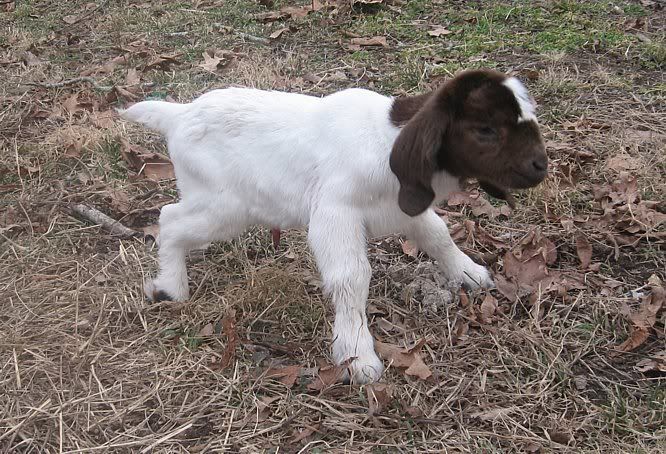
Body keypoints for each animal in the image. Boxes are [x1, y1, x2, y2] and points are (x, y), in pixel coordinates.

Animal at [119, 69, 547, 384]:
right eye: (485, 129)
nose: (540, 165)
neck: (386, 138)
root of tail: (178, 115)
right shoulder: (334, 212)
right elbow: (351, 276)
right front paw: (357, 354)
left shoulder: (407, 204)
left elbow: (438, 236)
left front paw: (469, 274)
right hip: (226, 207)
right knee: (170, 219)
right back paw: (171, 287)